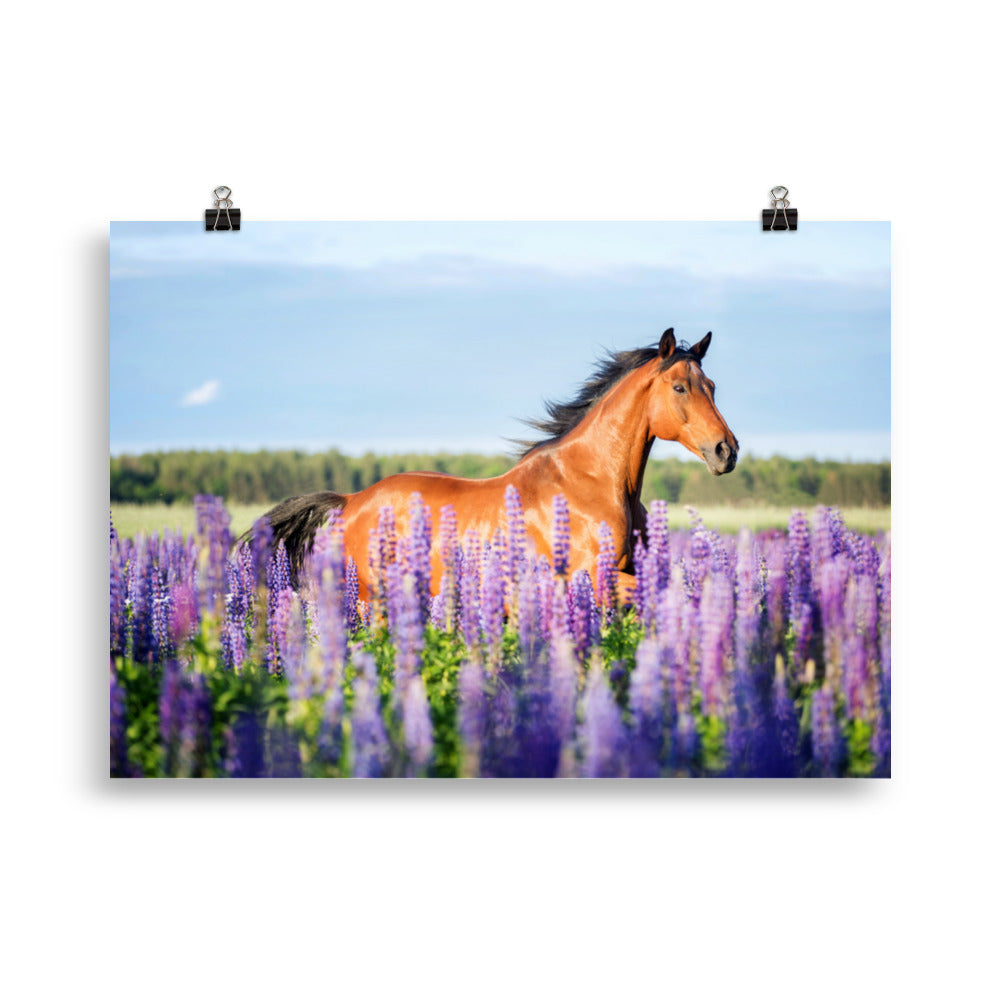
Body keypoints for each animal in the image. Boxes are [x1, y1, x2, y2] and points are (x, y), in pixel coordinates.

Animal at [261, 328, 738, 601]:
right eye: (679, 387)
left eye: (712, 386)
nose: (726, 451)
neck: (595, 482)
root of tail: (352, 500)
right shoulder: (593, 578)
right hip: (371, 598)